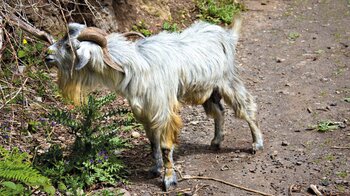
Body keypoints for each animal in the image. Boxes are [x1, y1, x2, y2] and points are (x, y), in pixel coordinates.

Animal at [44, 17, 262, 191]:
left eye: (69, 47)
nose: (46, 55)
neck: (135, 65)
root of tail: (227, 35)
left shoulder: (163, 111)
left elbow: (165, 147)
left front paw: (169, 179)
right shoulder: (145, 112)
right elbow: (153, 143)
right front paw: (155, 169)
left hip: (227, 81)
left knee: (246, 106)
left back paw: (256, 143)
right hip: (208, 90)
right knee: (219, 112)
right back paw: (216, 141)